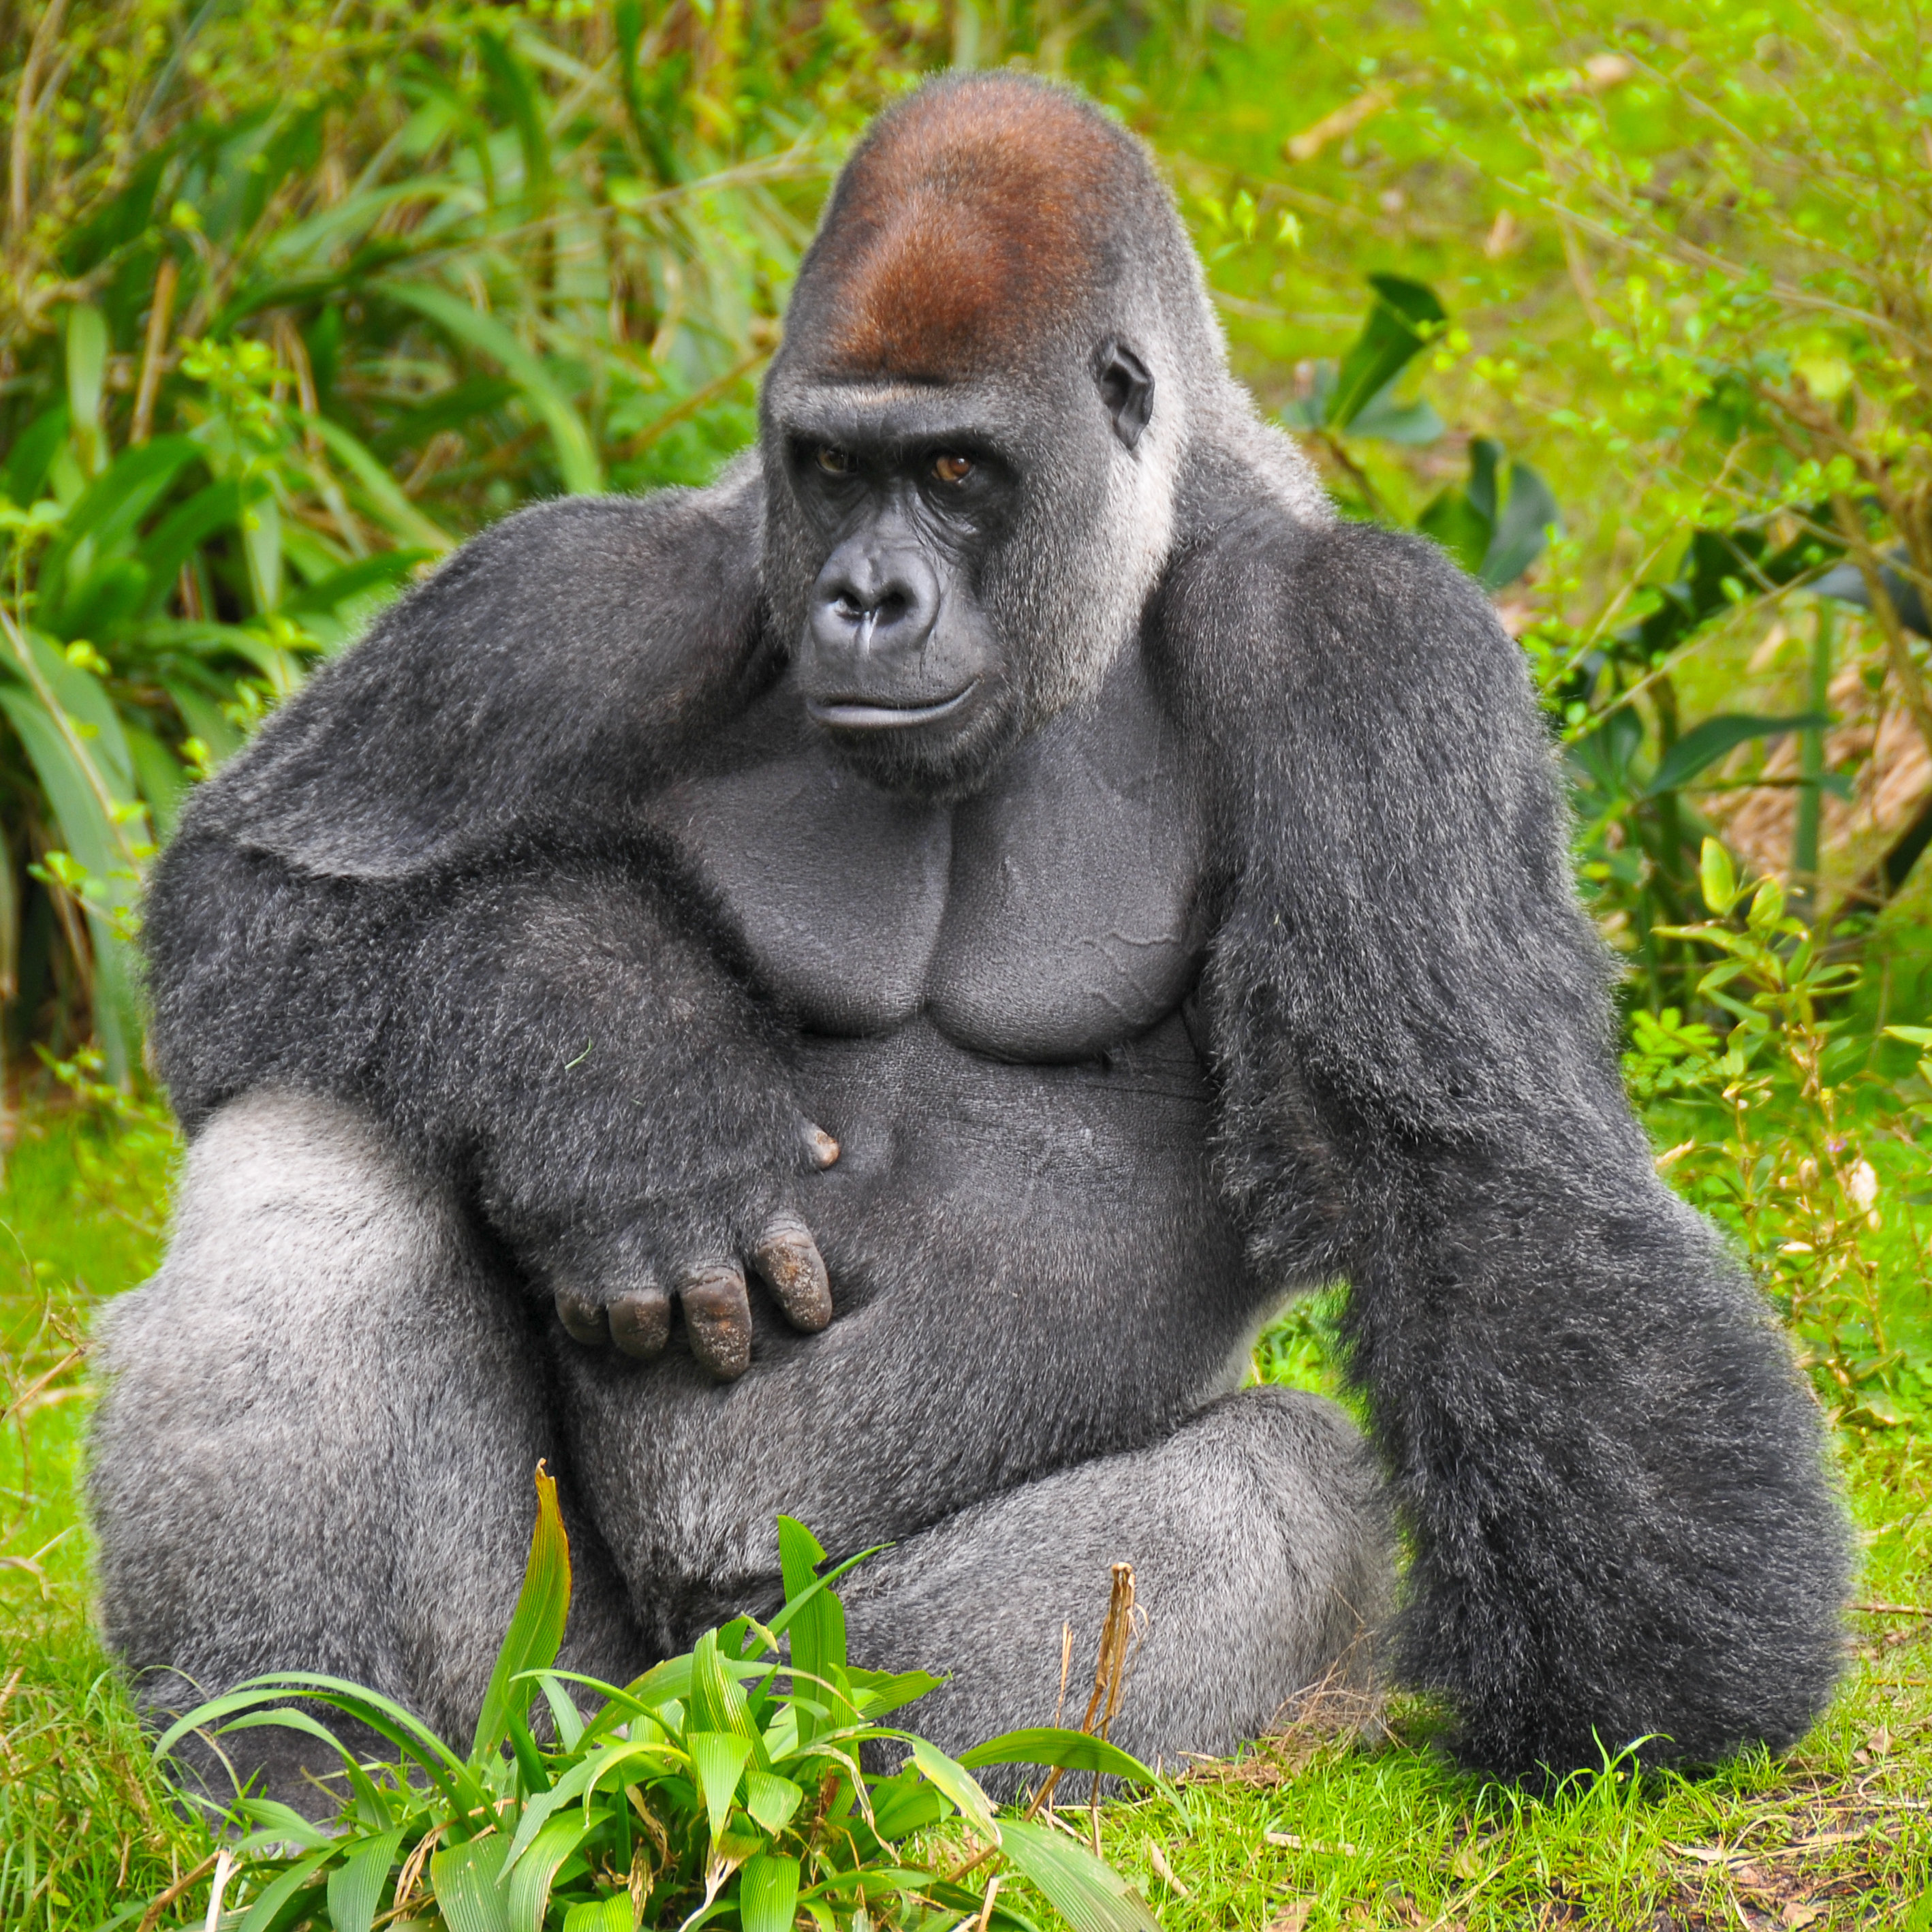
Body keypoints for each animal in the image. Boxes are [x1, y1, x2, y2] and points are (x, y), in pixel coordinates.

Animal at [94, 75, 1854, 1792]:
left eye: (953, 473)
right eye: (829, 467)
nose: (866, 599)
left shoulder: (1373, 648)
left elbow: (1476, 1168)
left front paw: (1654, 1680)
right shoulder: (590, 589)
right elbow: (254, 894)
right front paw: (615, 1070)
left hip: (774, 1670)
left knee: (1272, 1490)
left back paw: (819, 1767)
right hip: (549, 1680)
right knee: (316, 1138)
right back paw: (326, 1777)